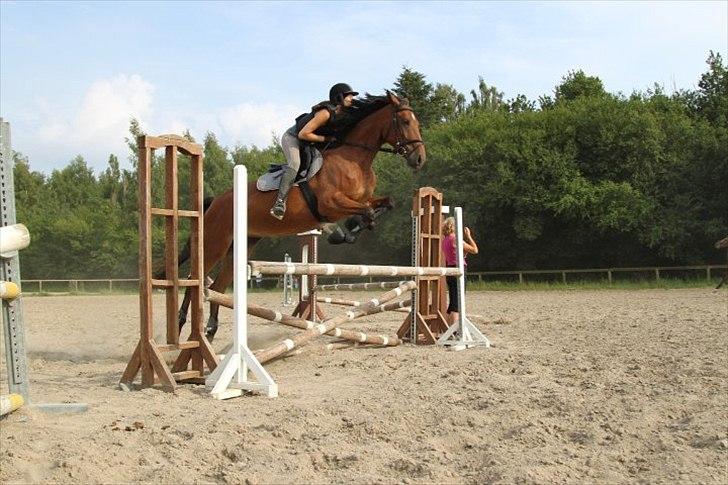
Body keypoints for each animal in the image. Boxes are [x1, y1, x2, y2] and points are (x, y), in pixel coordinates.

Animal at [172, 90, 426, 336]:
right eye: (405, 121)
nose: (420, 158)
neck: (355, 159)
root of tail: (215, 201)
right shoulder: (331, 204)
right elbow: (367, 211)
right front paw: (343, 232)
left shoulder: (361, 199)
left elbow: (385, 204)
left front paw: (349, 230)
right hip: (215, 243)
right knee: (194, 278)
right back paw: (181, 322)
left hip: (240, 245)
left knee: (217, 287)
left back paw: (210, 329)